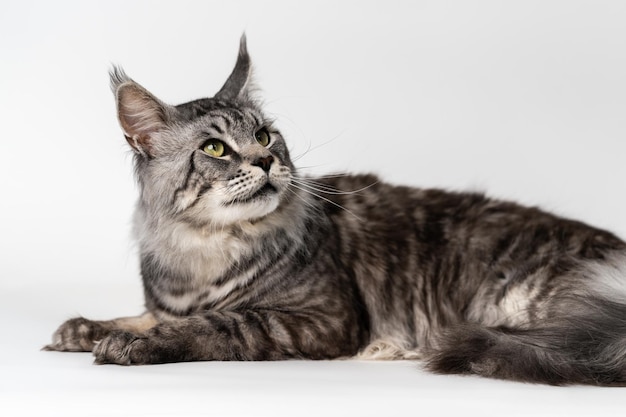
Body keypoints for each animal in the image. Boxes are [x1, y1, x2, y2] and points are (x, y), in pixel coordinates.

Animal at [46, 37, 624, 386]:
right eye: (215, 148)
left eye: (264, 136)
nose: (265, 161)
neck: (204, 246)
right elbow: (142, 315)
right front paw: (83, 329)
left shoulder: (319, 316)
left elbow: (217, 323)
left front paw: (129, 342)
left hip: (520, 304)